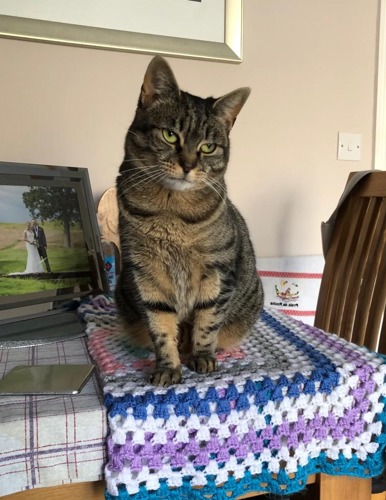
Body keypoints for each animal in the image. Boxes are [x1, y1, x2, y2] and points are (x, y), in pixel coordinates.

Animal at [114, 57, 264, 386]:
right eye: (170, 135)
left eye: (208, 147)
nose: (187, 165)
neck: (173, 212)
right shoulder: (146, 274)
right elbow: (160, 328)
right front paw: (168, 368)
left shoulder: (217, 273)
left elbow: (207, 323)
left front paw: (203, 358)